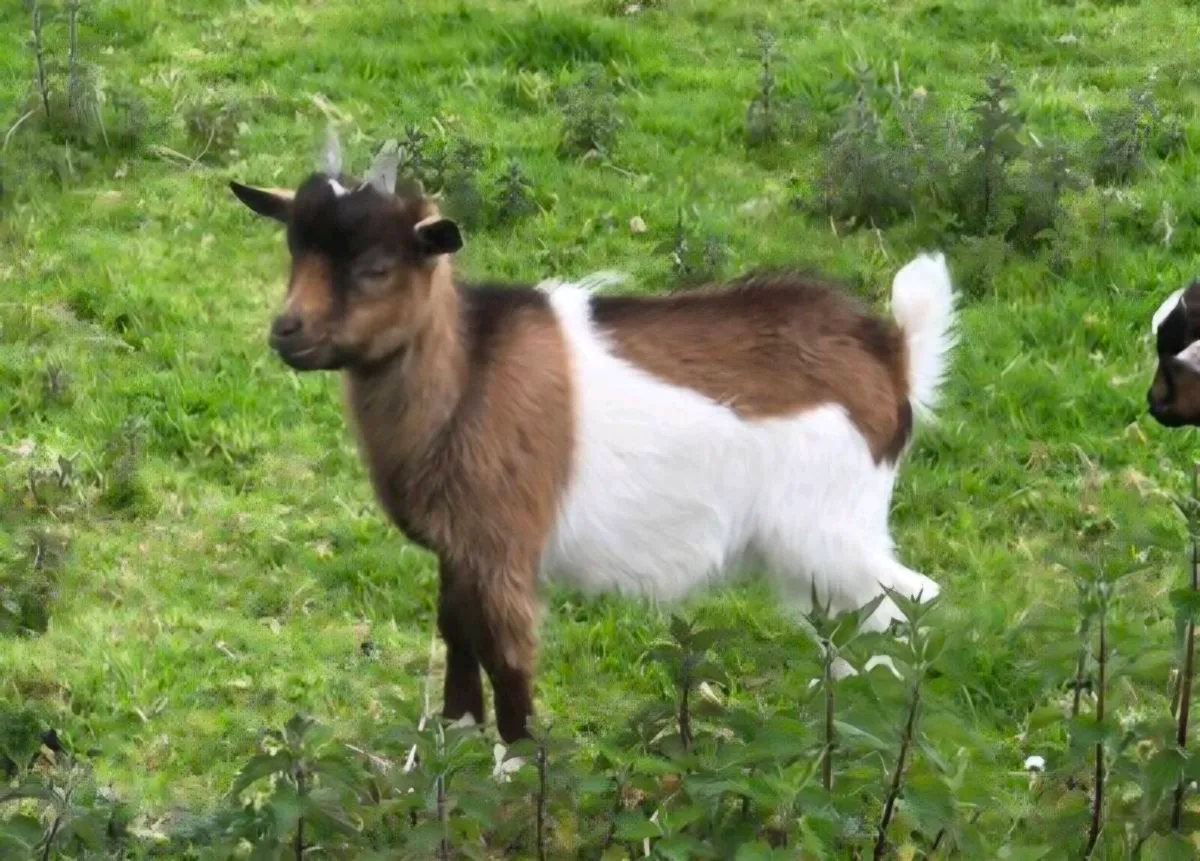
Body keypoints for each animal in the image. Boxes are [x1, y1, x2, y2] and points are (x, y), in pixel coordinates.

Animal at [228, 139, 958, 744]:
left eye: (378, 266)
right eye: (294, 248)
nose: (287, 331)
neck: (468, 373)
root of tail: (892, 355)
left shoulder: (506, 546)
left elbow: (508, 662)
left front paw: (516, 777)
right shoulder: (460, 549)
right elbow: (457, 642)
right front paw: (452, 753)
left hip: (828, 526)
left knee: (907, 600)